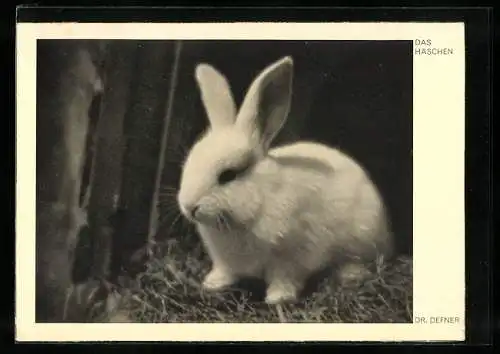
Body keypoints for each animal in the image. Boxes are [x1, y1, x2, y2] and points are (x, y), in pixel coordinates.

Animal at [177, 55, 394, 304]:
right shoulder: (224, 260)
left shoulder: (293, 257)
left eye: (228, 175)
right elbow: (225, 271)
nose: (189, 206)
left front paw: (278, 299)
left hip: (362, 238)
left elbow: (285, 278)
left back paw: (350, 274)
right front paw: (212, 284)